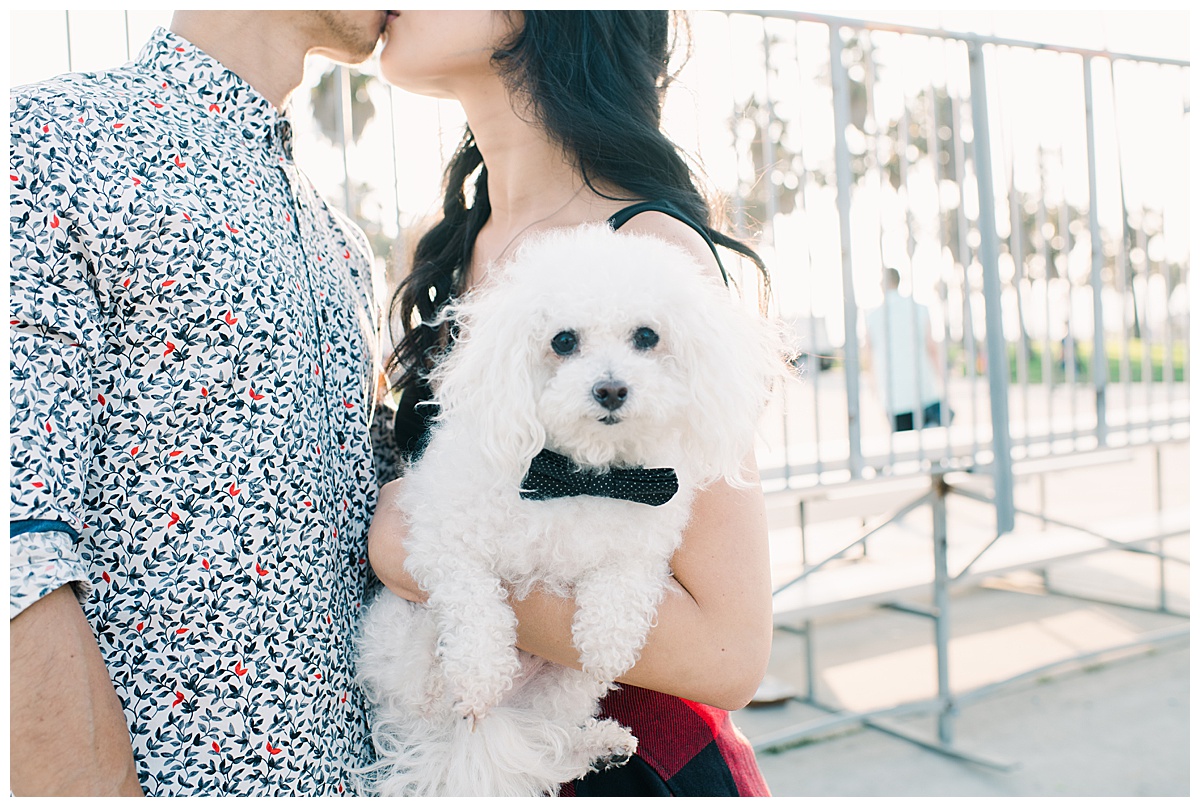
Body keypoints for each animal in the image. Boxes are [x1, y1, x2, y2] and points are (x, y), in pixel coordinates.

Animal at [352, 220, 787, 792]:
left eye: (646, 336)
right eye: (563, 341)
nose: (611, 389)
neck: (579, 476)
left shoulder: (642, 540)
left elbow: (622, 587)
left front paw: (607, 642)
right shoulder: (442, 541)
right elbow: (476, 606)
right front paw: (479, 674)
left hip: (563, 689)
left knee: (545, 738)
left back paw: (597, 747)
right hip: (403, 649)